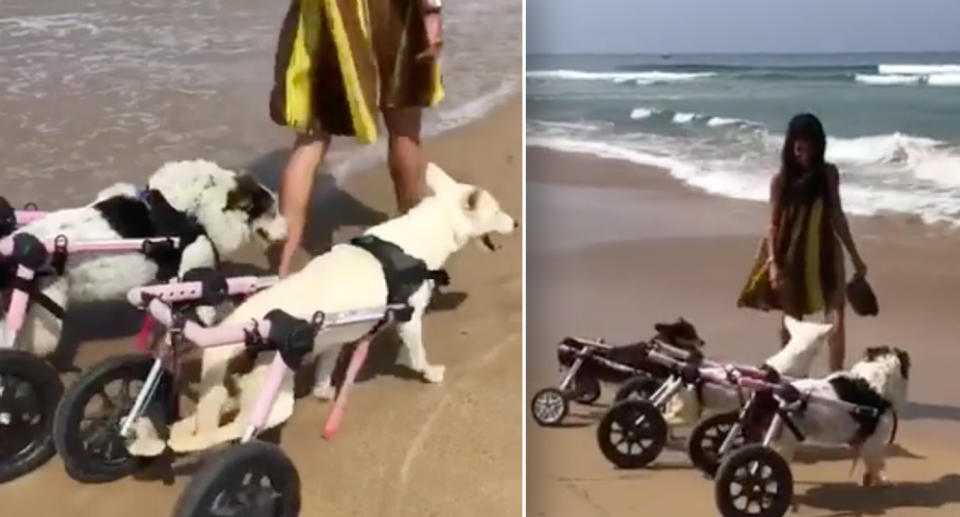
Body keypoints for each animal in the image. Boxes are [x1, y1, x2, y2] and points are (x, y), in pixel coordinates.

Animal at [129, 163, 516, 454]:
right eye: (498, 210)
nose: (515, 223)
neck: (418, 238)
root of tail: (235, 332)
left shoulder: (335, 338)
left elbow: (325, 370)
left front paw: (323, 392)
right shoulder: (409, 319)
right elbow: (418, 354)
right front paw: (430, 373)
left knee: (204, 416)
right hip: (274, 400)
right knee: (226, 430)